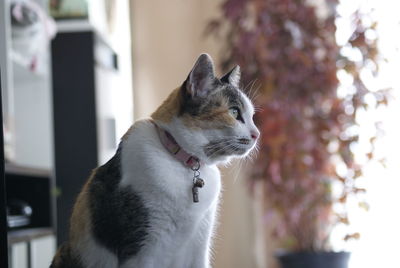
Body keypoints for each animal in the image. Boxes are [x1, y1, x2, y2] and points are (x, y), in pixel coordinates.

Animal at [50, 53, 260, 266]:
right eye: (234, 112)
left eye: (252, 116)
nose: (257, 134)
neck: (185, 166)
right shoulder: (142, 249)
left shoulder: (200, 245)